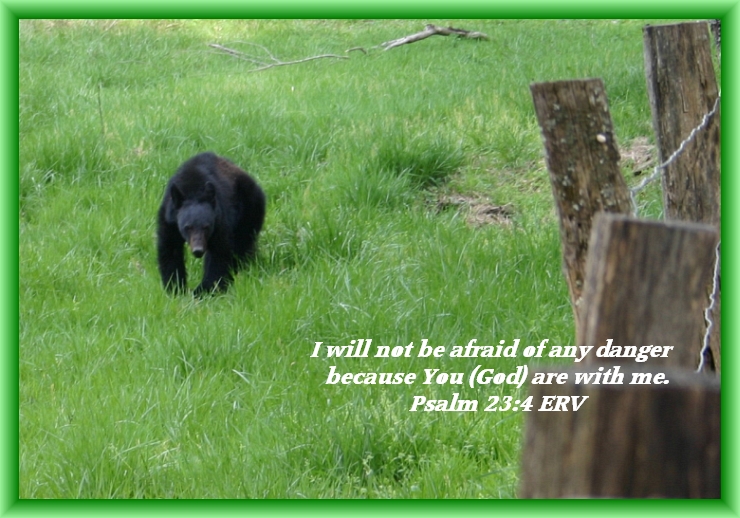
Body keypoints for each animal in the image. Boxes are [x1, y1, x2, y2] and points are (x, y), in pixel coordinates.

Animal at [157, 152, 265, 295]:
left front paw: (205, 290)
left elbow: (219, 253)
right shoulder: (169, 220)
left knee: (242, 244)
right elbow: (170, 250)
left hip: (249, 210)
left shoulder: (220, 219)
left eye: (206, 227)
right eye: (187, 227)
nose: (198, 250)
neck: (193, 189)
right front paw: (175, 288)